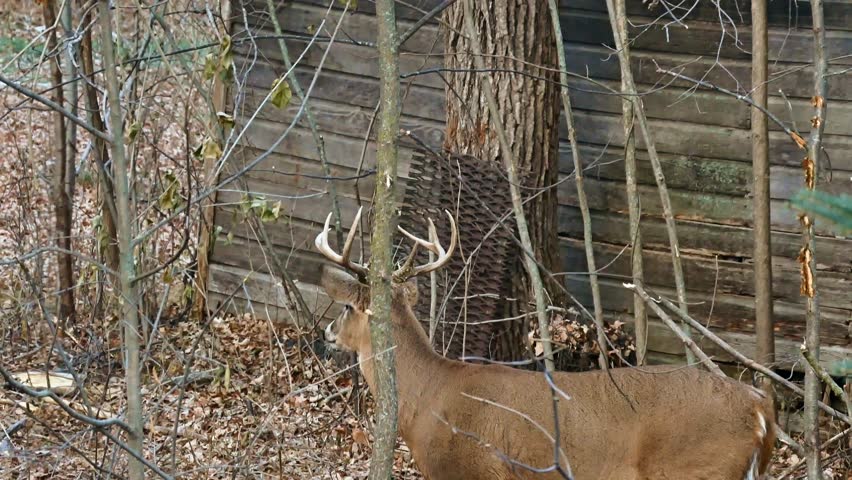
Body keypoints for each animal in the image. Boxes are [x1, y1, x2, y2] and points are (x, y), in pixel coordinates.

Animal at [316, 208, 776, 480]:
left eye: (347, 307)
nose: (327, 333)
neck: (427, 398)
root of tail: (759, 407)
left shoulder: (472, 472)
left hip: (695, 470)